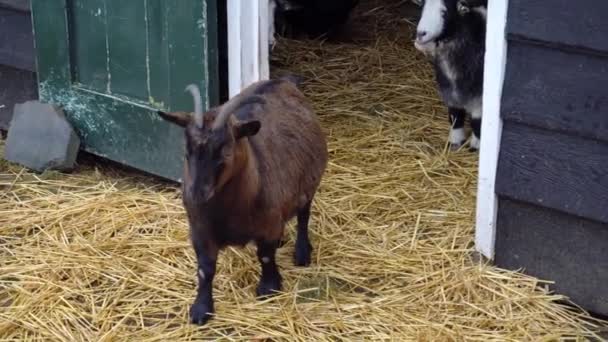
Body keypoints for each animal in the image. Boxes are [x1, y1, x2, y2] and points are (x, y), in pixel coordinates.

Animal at [158, 76, 328, 324]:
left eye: (224, 150)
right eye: (187, 150)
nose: (196, 193)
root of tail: (283, 81)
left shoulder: (268, 223)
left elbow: (265, 256)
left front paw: (269, 287)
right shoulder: (200, 231)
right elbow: (205, 269)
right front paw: (201, 309)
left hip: (308, 183)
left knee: (304, 215)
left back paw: (302, 252)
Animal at [414, 0, 484, 150]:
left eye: (444, 12)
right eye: (423, 7)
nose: (420, 34)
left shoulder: (479, 96)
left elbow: (477, 123)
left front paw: (477, 146)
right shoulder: (449, 90)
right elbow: (455, 116)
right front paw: (455, 142)